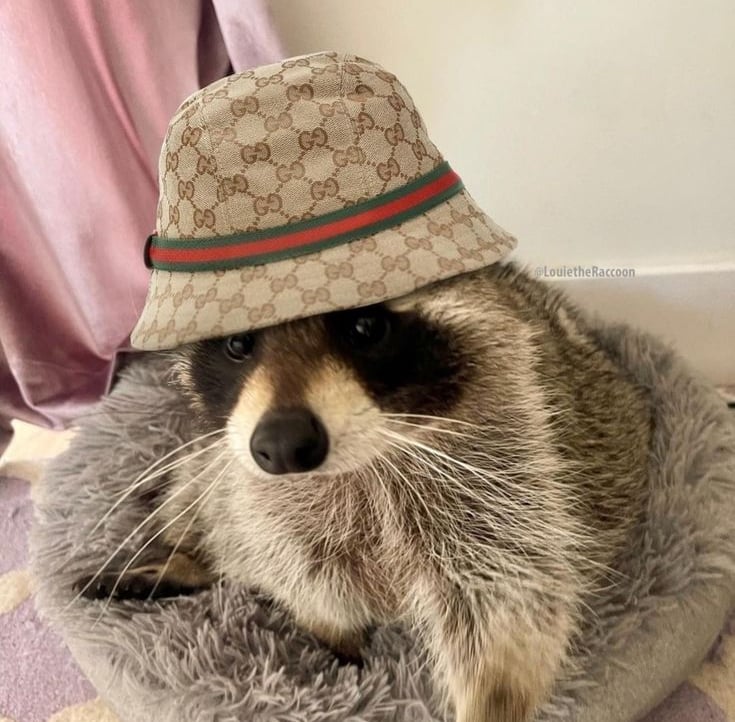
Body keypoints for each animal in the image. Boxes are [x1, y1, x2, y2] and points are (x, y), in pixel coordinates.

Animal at [76, 263, 651, 722]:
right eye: (238, 343)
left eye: (366, 326)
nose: (282, 445)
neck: (359, 466)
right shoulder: (255, 489)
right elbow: (292, 564)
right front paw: (332, 630)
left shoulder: (511, 468)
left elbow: (509, 604)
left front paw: (490, 700)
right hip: (210, 467)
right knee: (206, 514)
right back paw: (187, 558)